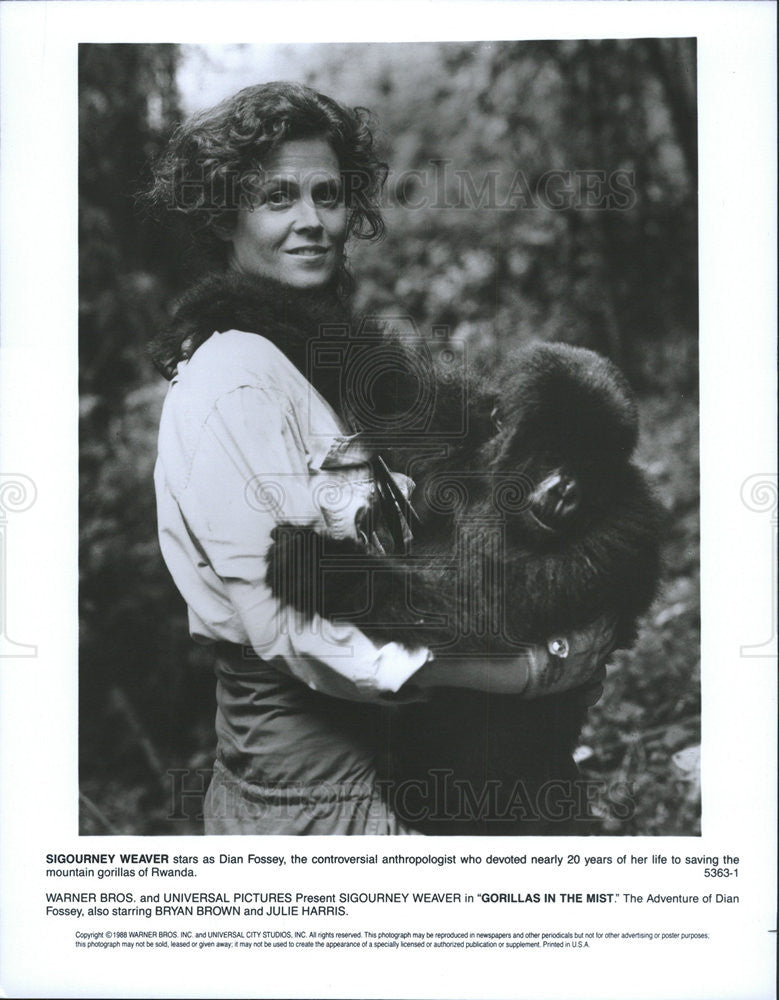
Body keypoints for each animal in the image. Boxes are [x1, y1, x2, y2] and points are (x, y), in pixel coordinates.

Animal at [266, 338, 660, 836]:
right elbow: (369, 371)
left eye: (590, 464)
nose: (567, 490)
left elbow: (488, 611)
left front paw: (321, 567)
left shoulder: (628, 529)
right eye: (553, 453)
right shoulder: (451, 420)